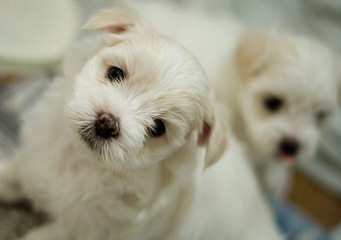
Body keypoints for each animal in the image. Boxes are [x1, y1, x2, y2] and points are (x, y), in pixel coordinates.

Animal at [0, 6, 282, 240]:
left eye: (158, 128)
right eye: (115, 73)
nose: (107, 122)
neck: (81, 160)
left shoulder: (81, 228)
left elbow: (42, 235)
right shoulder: (33, 161)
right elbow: (13, 175)